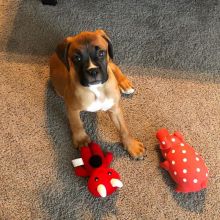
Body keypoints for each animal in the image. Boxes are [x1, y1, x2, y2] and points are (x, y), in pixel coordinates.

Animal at [50, 30, 146, 159]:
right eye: (77, 58)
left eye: (101, 53)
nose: (93, 71)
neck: (96, 88)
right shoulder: (72, 109)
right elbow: (77, 124)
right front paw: (81, 140)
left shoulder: (114, 109)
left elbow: (123, 128)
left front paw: (131, 145)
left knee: (112, 65)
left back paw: (124, 83)